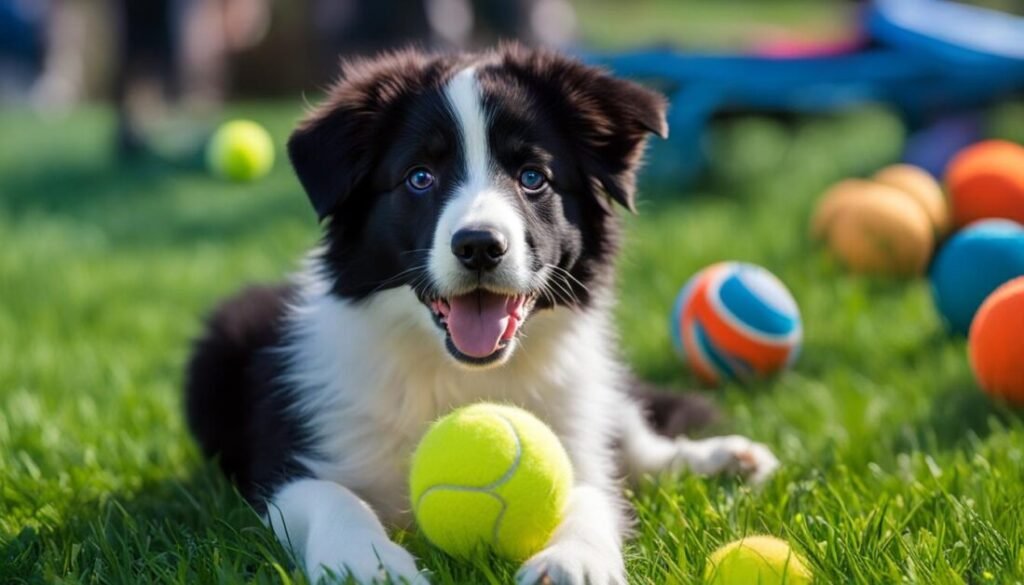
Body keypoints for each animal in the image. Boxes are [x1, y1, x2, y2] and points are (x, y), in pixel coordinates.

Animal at [186, 43, 774, 581]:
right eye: (419, 177)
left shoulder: (575, 438)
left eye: (533, 176)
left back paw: (726, 460)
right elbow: (333, 497)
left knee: (636, 443)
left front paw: (572, 561)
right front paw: (370, 564)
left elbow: (591, 492)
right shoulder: (288, 468)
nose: (479, 246)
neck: (460, 376)